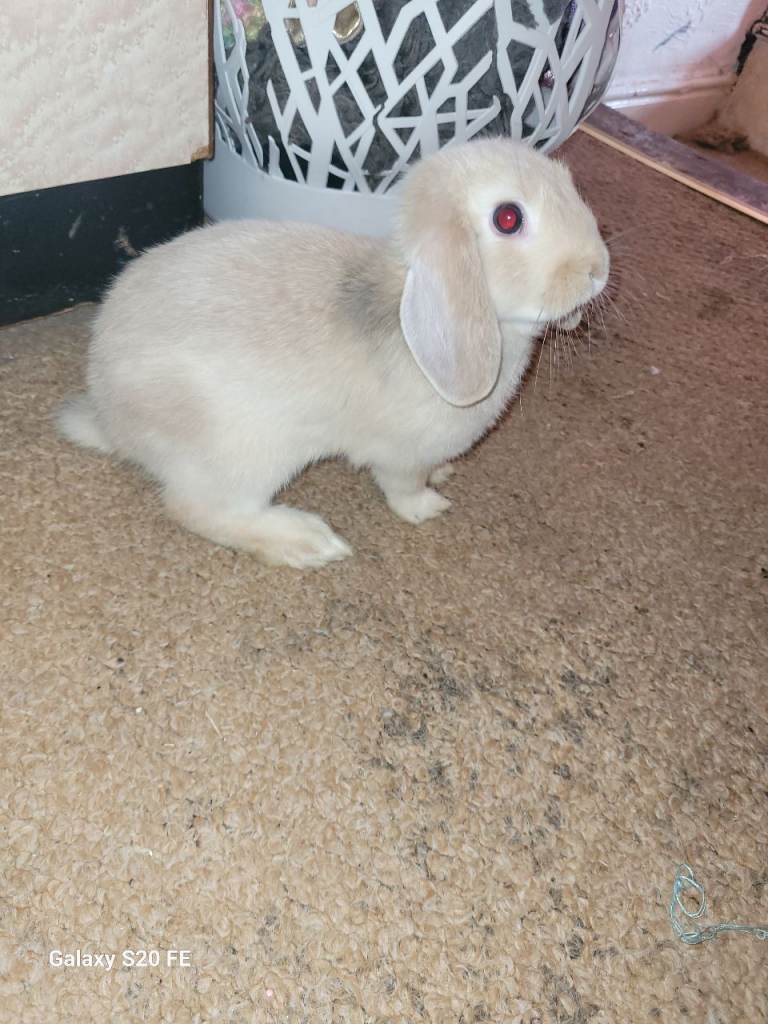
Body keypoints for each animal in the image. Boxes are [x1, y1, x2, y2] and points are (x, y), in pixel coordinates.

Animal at [55, 138, 608, 569]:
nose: (598, 269)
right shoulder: (400, 455)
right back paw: (307, 542)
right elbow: (403, 488)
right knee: (198, 510)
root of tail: (110, 419)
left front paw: (445, 474)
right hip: (244, 455)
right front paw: (430, 506)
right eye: (508, 218)